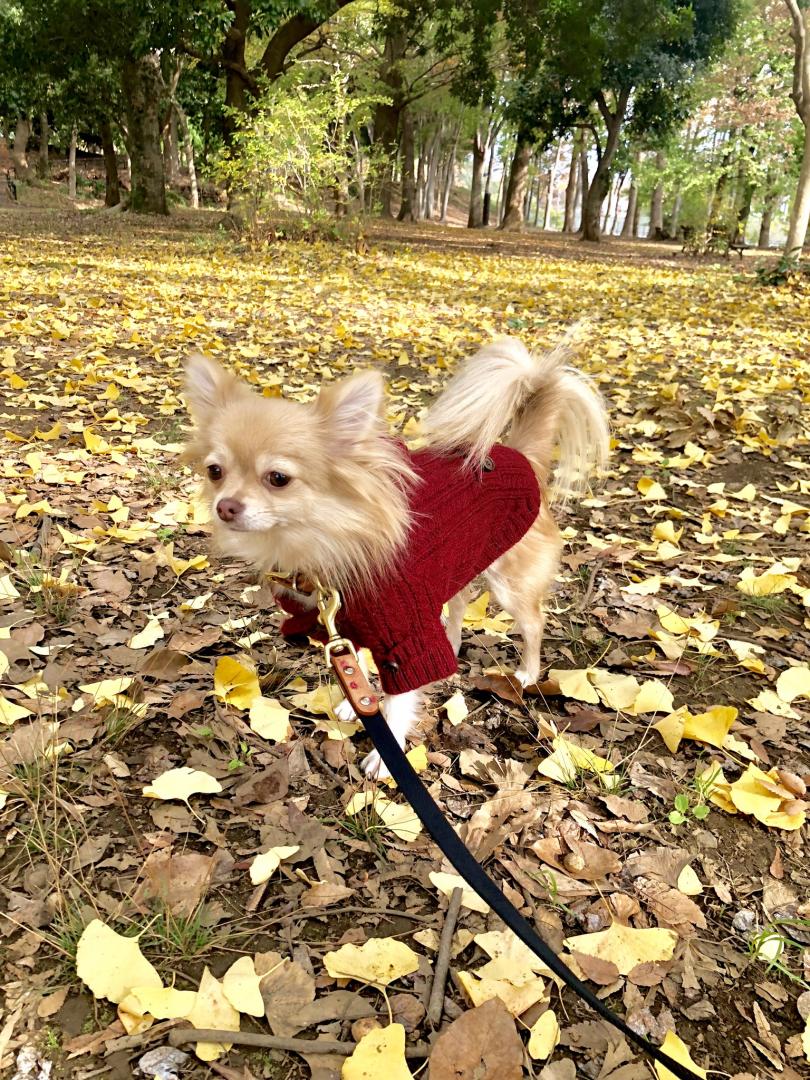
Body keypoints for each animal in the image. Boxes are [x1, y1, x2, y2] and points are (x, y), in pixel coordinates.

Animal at [185, 336, 609, 777]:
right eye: (215, 471)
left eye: (278, 479)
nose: (225, 506)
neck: (328, 539)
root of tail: (521, 455)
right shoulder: (349, 625)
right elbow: (359, 663)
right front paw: (355, 703)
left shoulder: (406, 637)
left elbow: (400, 699)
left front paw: (385, 753)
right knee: (459, 603)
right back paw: (453, 643)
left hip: (510, 582)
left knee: (533, 623)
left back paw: (526, 672)